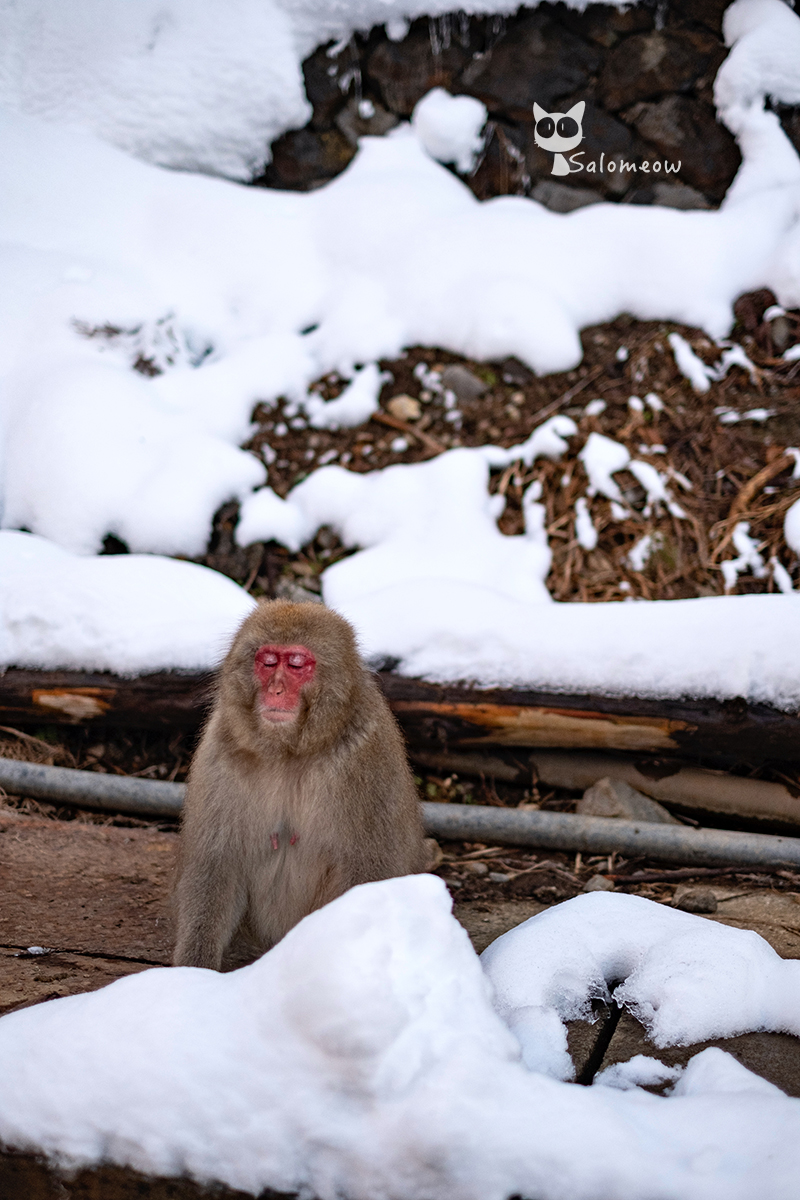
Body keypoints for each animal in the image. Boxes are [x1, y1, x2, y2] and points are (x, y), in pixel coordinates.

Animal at [172, 595, 429, 969]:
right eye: (267, 662)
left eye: (295, 664)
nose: (275, 690)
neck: (289, 752)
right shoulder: (220, 751)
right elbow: (216, 864)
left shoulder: (366, 755)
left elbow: (369, 871)